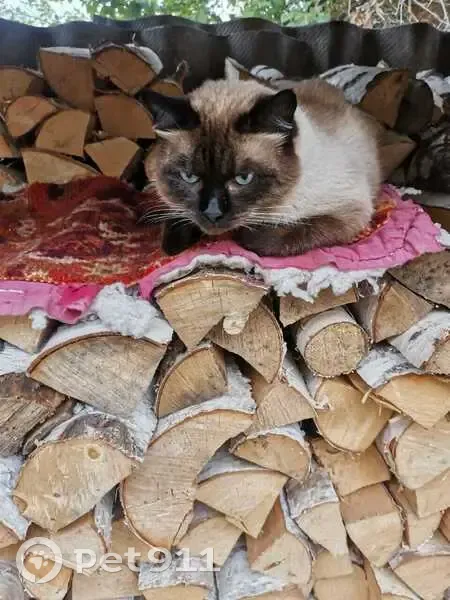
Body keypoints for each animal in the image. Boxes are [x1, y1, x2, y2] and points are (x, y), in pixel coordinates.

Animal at [142, 77, 381, 256]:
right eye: (189, 177)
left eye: (243, 178)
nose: (213, 213)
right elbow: (176, 223)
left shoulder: (350, 211)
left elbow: (290, 233)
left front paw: (243, 234)